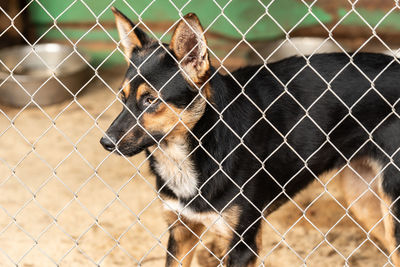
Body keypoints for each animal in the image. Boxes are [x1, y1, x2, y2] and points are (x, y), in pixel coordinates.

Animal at [101, 6, 400, 267]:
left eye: (151, 100)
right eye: (122, 97)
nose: (106, 142)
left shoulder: (243, 245)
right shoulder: (181, 231)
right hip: (364, 201)